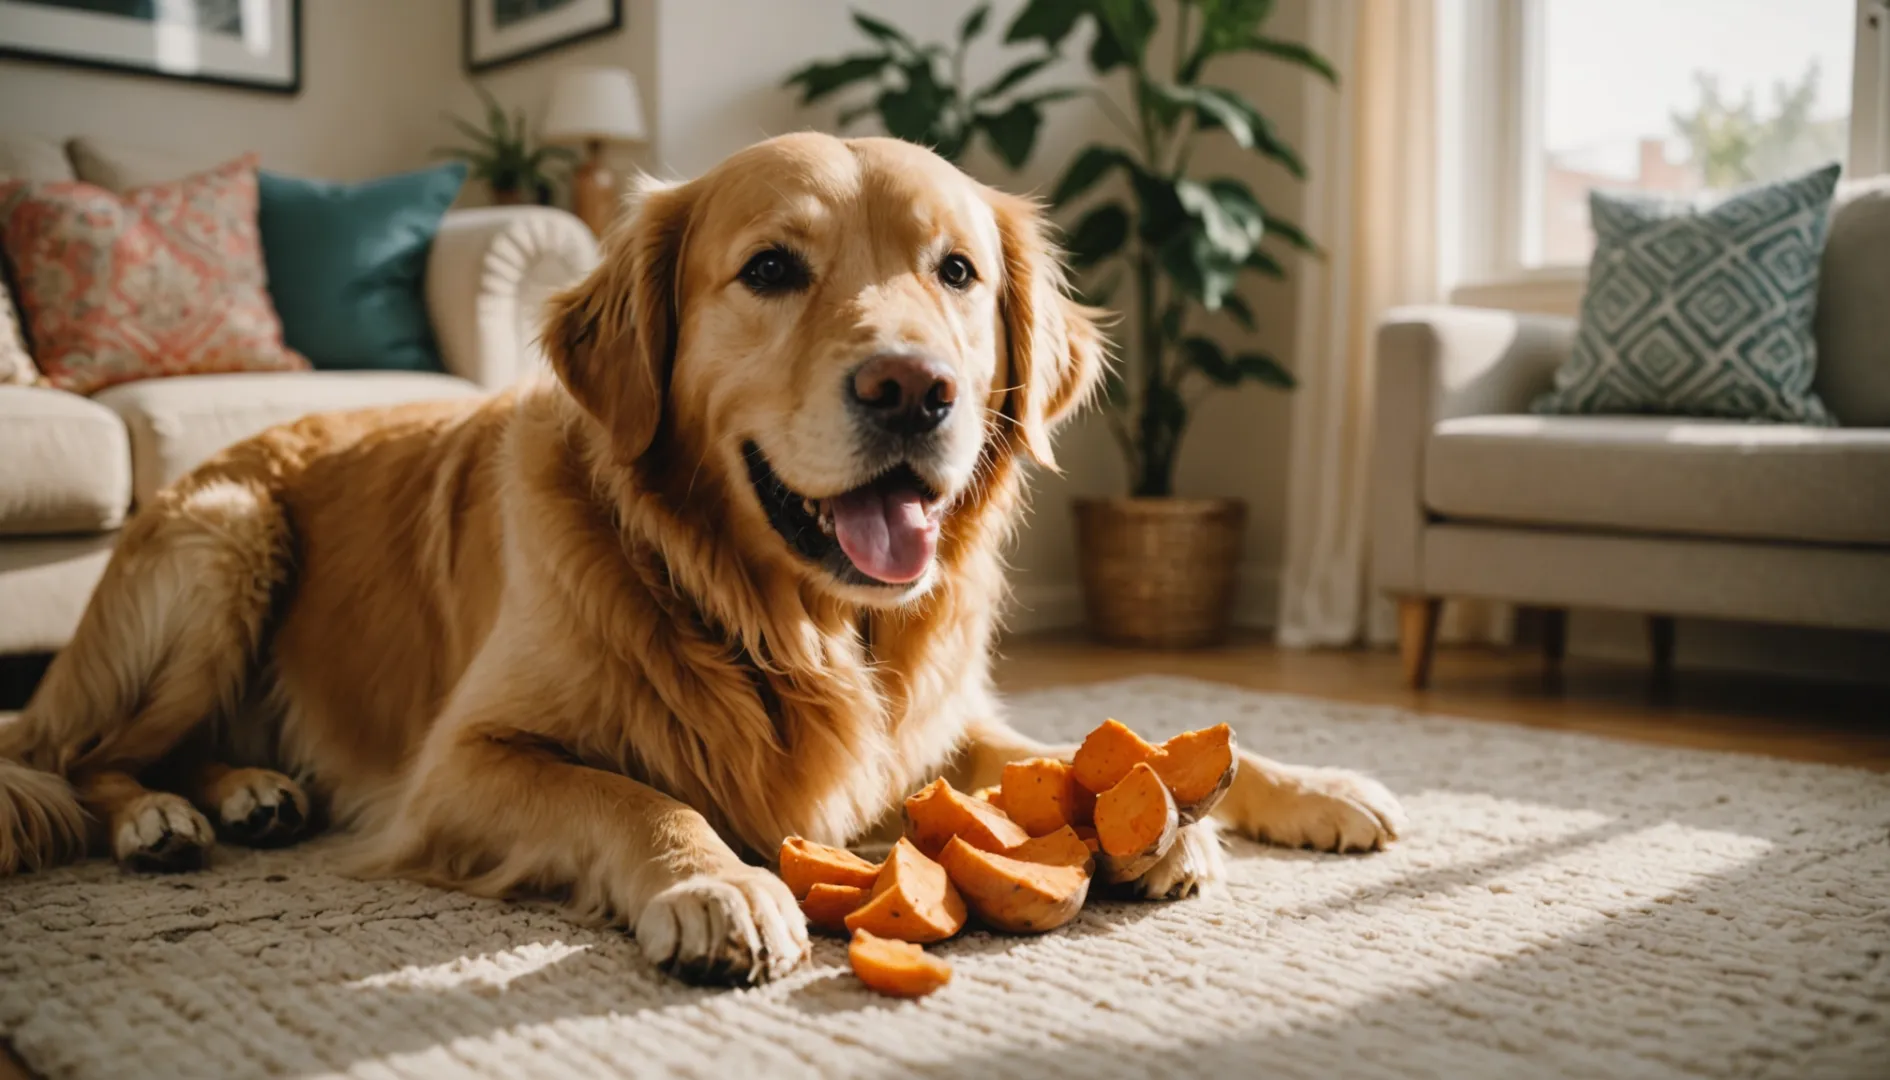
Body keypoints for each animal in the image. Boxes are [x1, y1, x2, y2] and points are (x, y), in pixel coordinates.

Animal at [3, 131, 1406, 983]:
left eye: (955, 271)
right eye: (771, 269)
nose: (915, 390)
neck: (781, 616)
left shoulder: (934, 727)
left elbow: (1095, 752)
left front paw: (1293, 790)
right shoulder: (460, 765)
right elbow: (631, 794)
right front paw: (718, 887)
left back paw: (249, 790)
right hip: (226, 543)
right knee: (84, 757)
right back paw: (170, 818)